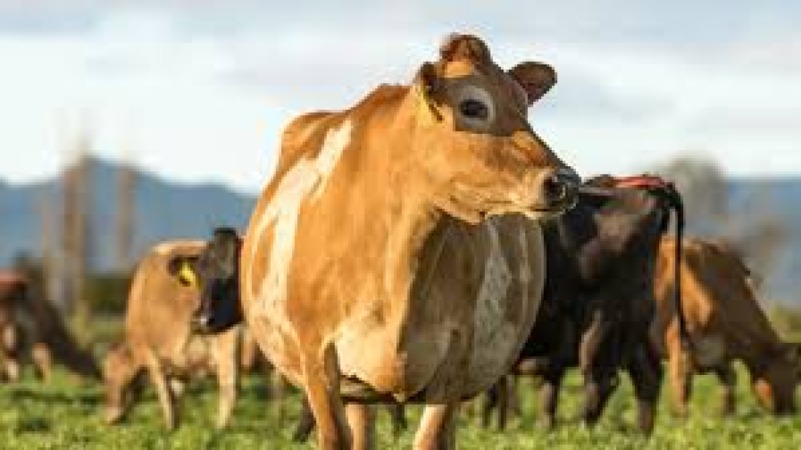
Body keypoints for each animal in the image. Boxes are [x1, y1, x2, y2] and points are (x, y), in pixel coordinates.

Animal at [102, 238, 240, 430]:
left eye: (107, 376)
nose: (107, 419)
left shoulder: (150, 355)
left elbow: (165, 397)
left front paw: (168, 428)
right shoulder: (179, 367)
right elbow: (176, 398)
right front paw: (177, 428)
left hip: (226, 344)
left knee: (229, 389)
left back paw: (219, 430)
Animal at [232, 33, 578, 450]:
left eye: (525, 105)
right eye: (473, 106)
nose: (565, 181)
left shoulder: (456, 359)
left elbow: (431, 439)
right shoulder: (317, 359)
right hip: (355, 389)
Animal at [483, 174, 685, 433]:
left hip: (603, 319)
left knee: (601, 381)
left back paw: (579, 433)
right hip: (633, 322)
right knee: (647, 376)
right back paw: (638, 435)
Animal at [652, 237, 801, 416]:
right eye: (797, 375)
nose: (792, 412)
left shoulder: (720, 352)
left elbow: (729, 383)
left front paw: (728, 416)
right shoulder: (681, 344)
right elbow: (683, 389)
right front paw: (683, 422)